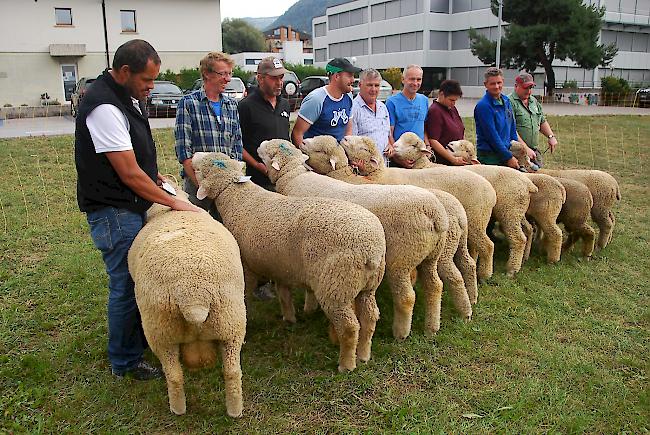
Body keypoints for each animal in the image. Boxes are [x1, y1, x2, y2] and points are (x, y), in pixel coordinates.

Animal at [127, 187, 246, 418]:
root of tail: (194, 298)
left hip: (161, 334)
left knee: (173, 376)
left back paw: (177, 409)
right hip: (231, 325)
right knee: (232, 372)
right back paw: (235, 411)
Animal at [191, 152, 384, 372]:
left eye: (201, 170)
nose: (194, 155)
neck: (238, 199)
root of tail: (371, 250)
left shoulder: (247, 267)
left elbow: (246, 297)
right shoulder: (279, 266)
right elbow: (283, 294)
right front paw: (289, 318)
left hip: (336, 287)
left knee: (350, 327)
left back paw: (347, 364)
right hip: (367, 286)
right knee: (370, 317)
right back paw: (364, 354)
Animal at [256, 139, 466, 338]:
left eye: (321, 150)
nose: (259, 145)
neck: (295, 177)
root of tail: (435, 213)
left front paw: (308, 308)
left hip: (403, 258)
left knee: (407, 297)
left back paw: (401, 333)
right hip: (431, 256)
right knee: (435, 285)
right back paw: (434, 326)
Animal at [340, 136, 496, 282]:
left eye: (364, 148)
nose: (345, 138)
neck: (380, 175)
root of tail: (491, 192)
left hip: (477, 220)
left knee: (488, 246)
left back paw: (485, 274)